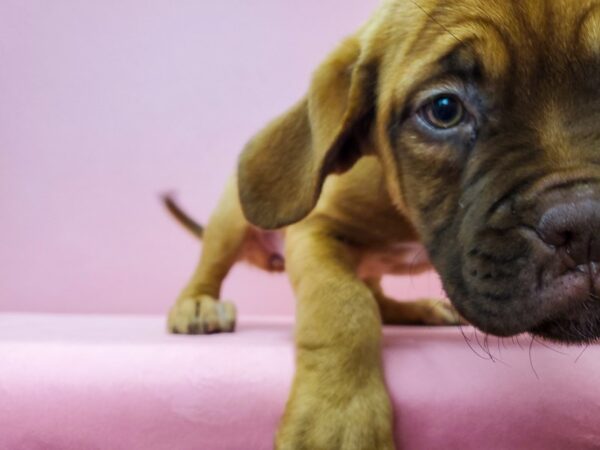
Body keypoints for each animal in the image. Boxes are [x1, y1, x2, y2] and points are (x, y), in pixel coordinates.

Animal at [164, 1, 600, 448]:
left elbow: (358, 298)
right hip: (230, 222)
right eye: (444, 109)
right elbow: (343, 303)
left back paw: (419, 309)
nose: (588, 227)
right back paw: (196, 304)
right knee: (213, 267)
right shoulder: (316, 229)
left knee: (377, 292)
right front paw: (336, 415)